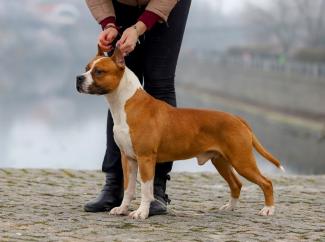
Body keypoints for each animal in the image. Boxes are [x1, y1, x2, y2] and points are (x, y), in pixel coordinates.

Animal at [76, 47, 284, 219]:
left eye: (99, 71)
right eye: (86, 68)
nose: (78, 78)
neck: (125, 104)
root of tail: (237, 118)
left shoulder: (145, 158)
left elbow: (146, 189)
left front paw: (142, 212)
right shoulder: (128, 159)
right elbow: (128, 188)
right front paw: (122, 209)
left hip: (242, 160)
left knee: (266, 182)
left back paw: (268, 210)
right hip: (221, 161)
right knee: (236, 184)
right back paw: (230, 207)